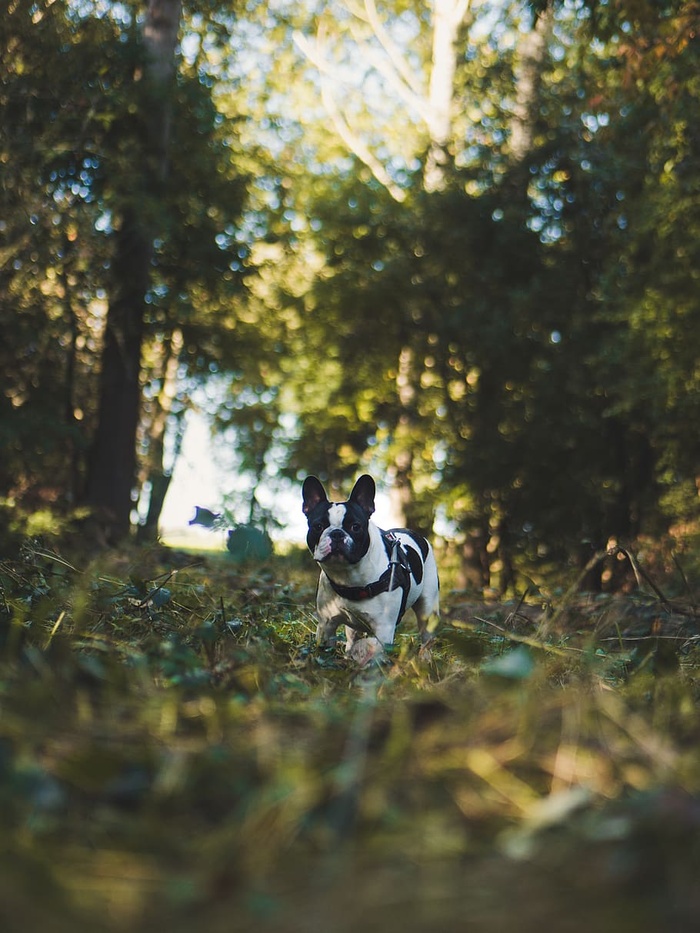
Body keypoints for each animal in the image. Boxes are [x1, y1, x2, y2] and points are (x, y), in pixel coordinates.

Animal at [302, 474, 442, 664]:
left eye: (355, 526)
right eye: (318, 526)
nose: (337, 533)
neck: (349, 575)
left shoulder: (384, 630)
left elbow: (375, 654)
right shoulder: (326, 625)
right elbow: (326, 649)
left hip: (428, 609)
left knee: (427, 635)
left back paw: (425, 659)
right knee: (352, 635)